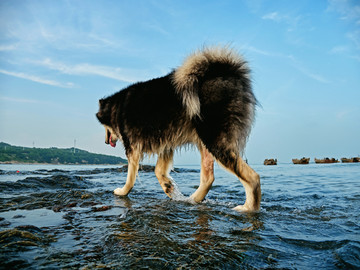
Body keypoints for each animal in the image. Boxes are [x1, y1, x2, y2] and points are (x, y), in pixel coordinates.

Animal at [95, 46, 260, 211]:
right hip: (204, 142)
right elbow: (158, 171)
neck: (115, 107)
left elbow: (130, 177)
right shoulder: (165, 144)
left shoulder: (133, 149)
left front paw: (122, 192)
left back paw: (248, 208)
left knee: (253, 178)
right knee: (208, 178)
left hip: (215, 141)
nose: (105, 142)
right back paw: (193, 199)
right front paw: (168, 187)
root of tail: (225, 72)